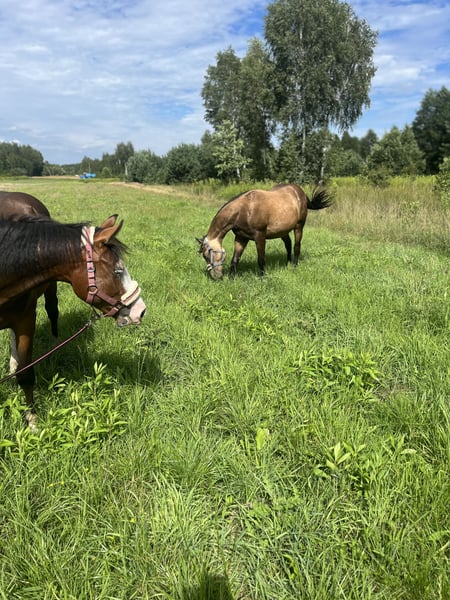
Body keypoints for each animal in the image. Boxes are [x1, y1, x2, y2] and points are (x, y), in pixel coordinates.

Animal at [197, 183, 333, 279]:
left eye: (206, 255)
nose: (216, 277)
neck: (244, 210)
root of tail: (301, 193)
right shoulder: (241, 238)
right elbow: (235, 259)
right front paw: (231, 278)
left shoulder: (260, 237)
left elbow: (261, 260)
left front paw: (263, 277)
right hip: (283, 231)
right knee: (288, 245)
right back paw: (288, 262)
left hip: (299, 227)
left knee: (296, 246)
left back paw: (294, 265)